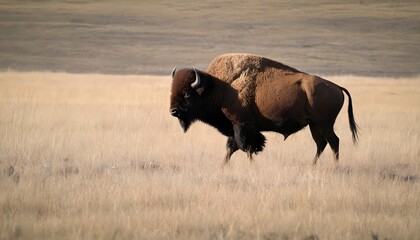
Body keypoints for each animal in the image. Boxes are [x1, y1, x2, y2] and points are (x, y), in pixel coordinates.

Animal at [170, 53, 358, 164]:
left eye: (187, 94)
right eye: (172, 90)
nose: (173, 111)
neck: (219, 87)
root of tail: (336, 87)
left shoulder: (242, 125)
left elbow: (246, 146)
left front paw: (251, 165)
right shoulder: (235, 127)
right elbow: (231, 147)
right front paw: (223, 166)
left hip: (324, 124)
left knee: (334, 142)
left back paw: (334, 166)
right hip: (314, 125)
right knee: (321, 144)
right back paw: (312, 166)